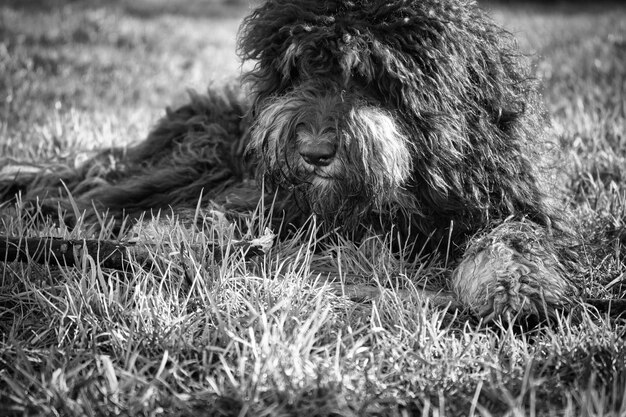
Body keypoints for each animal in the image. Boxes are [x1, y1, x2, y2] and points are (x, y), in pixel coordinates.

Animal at [0, 0, 576, 324]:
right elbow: (230, 225)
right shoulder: (272, 204)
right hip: (189, 166)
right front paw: (182, 240)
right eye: (301, 68)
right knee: (89, 197)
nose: (315, 153)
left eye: (370, 76)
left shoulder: (510, 199)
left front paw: (512, 285)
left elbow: (517, 235)